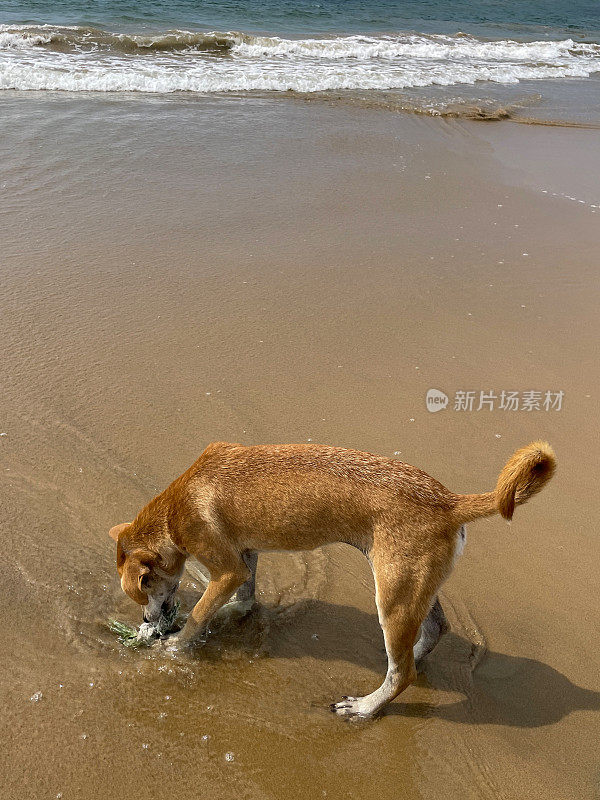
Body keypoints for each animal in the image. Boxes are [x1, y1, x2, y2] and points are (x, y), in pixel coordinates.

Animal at [109, 444, 556, 720]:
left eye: (144, 588)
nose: (145, 622)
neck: (174, 509)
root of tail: (449, 502)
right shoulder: (243, 558)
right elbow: (245, 598)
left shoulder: (225, 569)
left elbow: (200, 614)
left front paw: (172, 648)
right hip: (414, 586)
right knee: (431, 634)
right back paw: (412, 657)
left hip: (392, 594)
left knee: (403, 674)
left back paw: (366, 708)